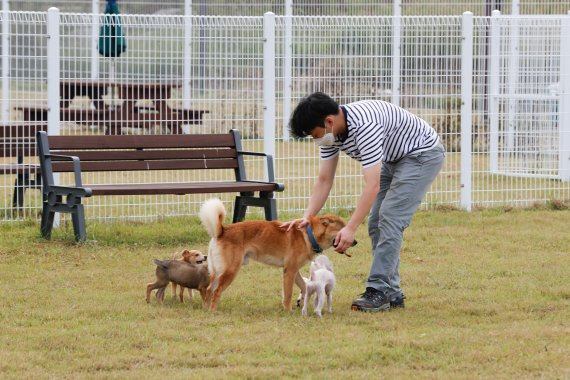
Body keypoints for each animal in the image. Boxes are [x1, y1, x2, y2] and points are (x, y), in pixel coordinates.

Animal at [197, 199, 352, 312]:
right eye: (342, 229)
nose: (355, 241)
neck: (308, 235)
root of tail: (222, 231)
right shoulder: (289, 271)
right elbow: (288, 293)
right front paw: (288, 311)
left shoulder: (293, 270)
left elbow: (303, 286)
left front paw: (300, 300)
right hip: (230, 271)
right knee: (217, 291)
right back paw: (213, 311)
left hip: (218, 272)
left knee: (209, 290)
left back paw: (205, 309)